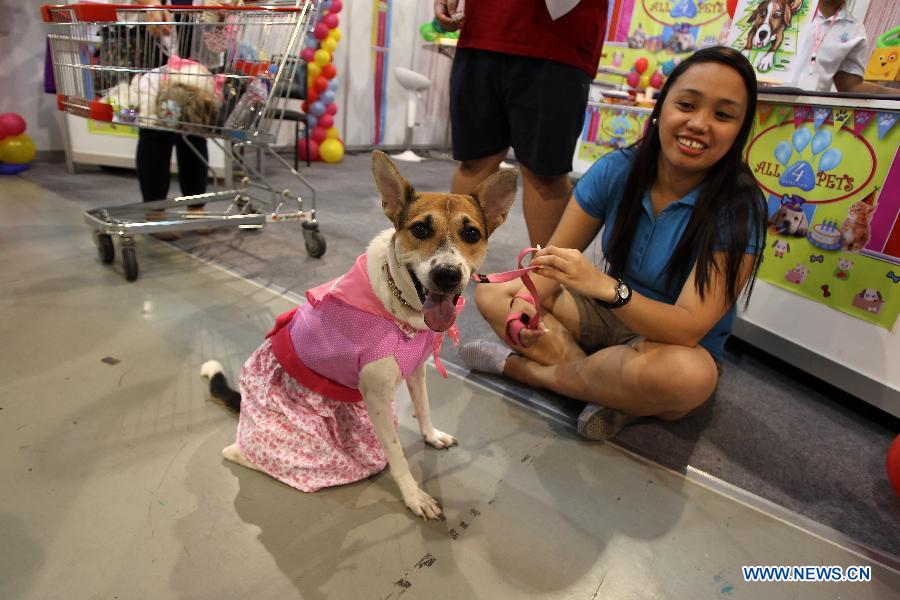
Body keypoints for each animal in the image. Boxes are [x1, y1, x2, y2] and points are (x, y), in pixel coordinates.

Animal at [201, 151, 516, 520]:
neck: (400, 309)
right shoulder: (377, 397)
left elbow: (423, 408)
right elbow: (397, 454)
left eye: (471, 233)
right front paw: (414, 496)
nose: (447, 275)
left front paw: (431, 436)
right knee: (238, 451)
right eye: (420, 229)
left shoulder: (417, 371)